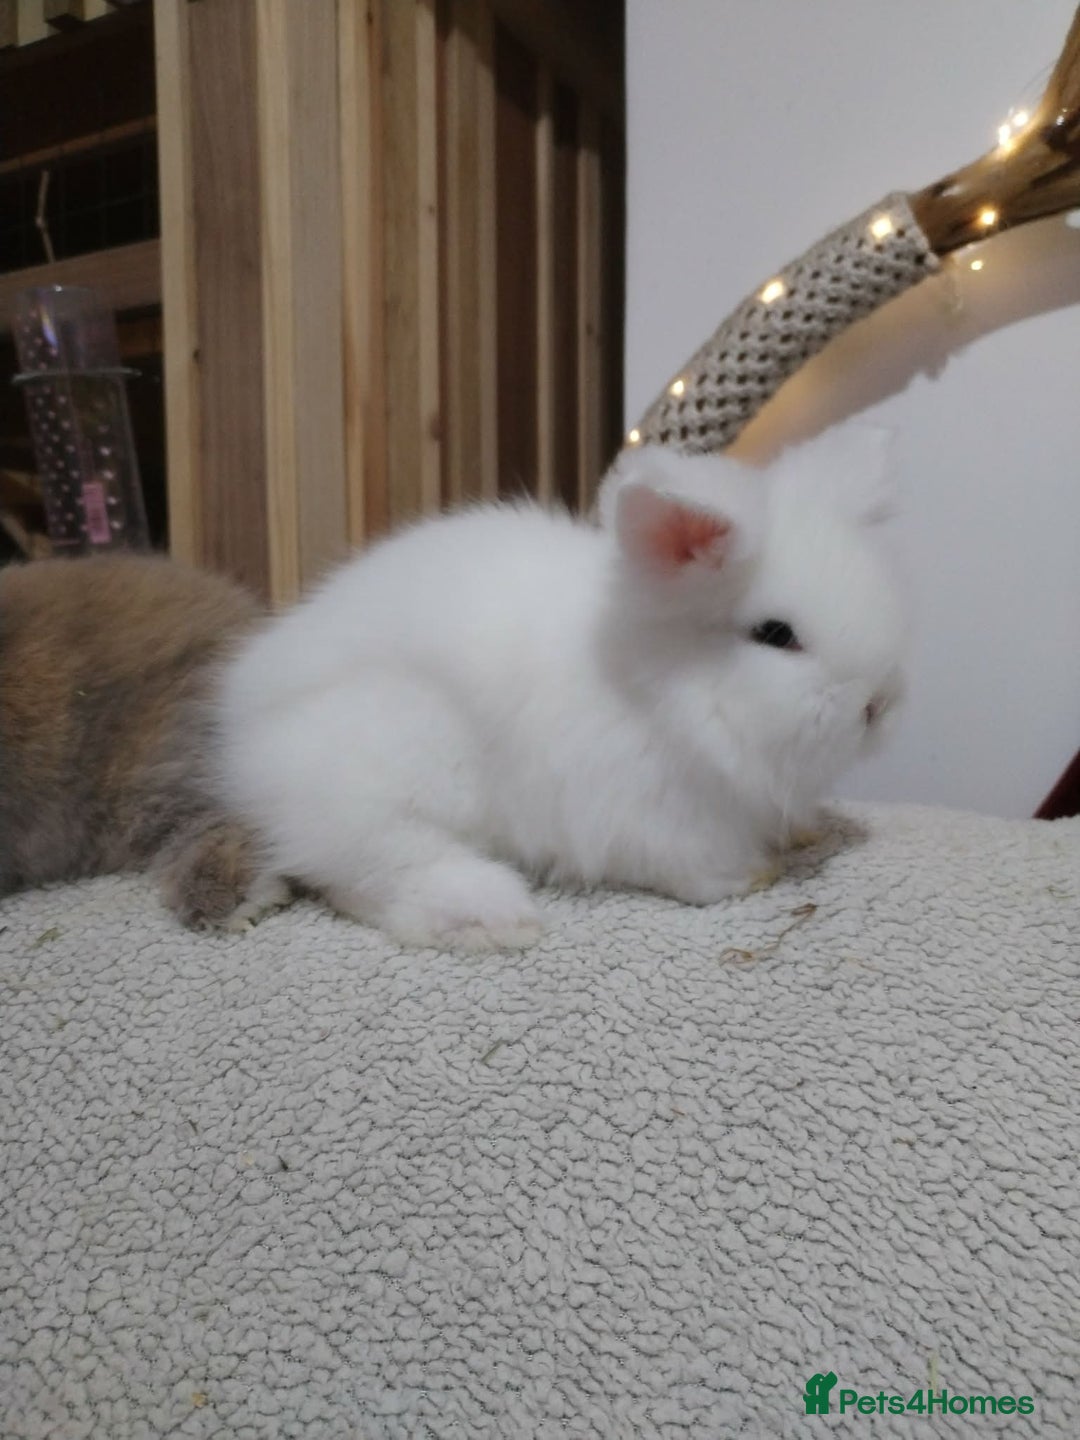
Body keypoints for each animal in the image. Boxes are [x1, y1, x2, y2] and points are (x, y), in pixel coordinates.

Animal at [214, 425, 906, 951]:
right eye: (775, 634)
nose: (878, 705)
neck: (662, 687)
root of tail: (242, 730)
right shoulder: (652, 815)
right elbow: (695, 868)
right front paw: (753, 875)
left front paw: (804, 834)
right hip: (400, 766)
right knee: (372, 863)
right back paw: (492, 918)